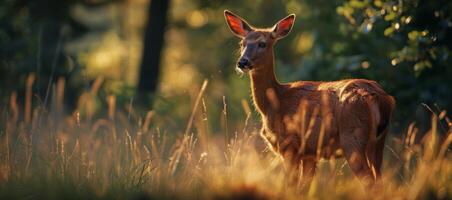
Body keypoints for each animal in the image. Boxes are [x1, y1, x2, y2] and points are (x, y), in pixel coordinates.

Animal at [224, 10, 394, 187]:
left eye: (262, 44)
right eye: (242, 43)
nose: (242, 62)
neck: (274, 102)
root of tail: (381, 98)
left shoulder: (290, 144)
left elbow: (291, 185)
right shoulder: (310, 153)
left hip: (353, 137)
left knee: (369, 182)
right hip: (378, 141)